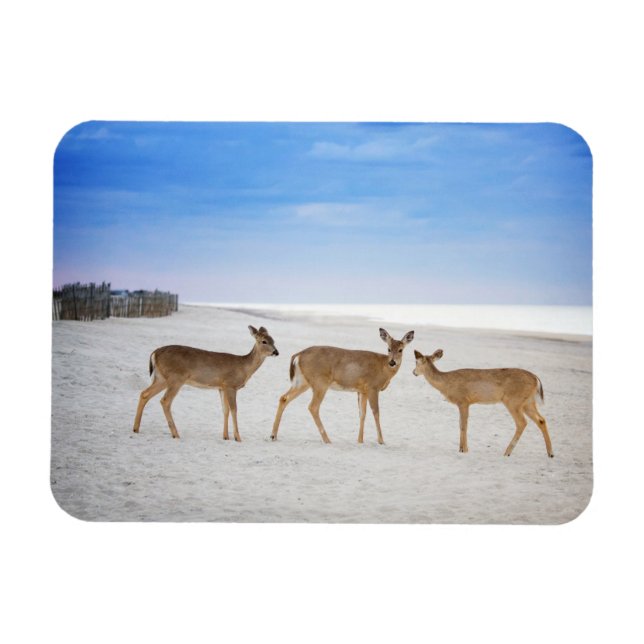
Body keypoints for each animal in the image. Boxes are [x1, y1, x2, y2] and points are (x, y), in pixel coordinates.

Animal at [132, 325, 279, 441]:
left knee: (144, 394)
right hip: (176, 378)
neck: (243, 367)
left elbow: (225, 410)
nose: (276, 352)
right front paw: (238, 437)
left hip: (161, 378)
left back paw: (136, 428)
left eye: (274, 340)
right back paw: (175, 434)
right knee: (165, 400)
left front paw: (225, 436)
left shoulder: (221, 387)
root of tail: (154, 353)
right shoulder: (231, 385)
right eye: (264, 341)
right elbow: (234, 409)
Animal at [270, 328, 414, 444]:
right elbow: (376, 412)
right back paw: (327, 440)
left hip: (302, 382)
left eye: (400, 350)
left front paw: (360, 440)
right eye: (388, 349)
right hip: (320, 382)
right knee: (313, 407)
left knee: (284, 398)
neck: (383, 368)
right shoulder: (373, 387)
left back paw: (273, 435)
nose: (392, 362)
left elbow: (362, 414)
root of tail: (298, 355)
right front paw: (381, 441)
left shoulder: (362, 390)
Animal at [412, 348, 553, 457]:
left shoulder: (463, 400)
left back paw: (507, 452)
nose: (413, 372)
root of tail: (536, 379)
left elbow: (463, 425)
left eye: (416, 362)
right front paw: (461, 448)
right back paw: (550, 453)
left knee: (522, 422)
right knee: (541, 420)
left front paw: (464, 450)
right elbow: (460, 424)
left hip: (513, 401)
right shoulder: (464, 403)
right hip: (528, 402)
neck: (446, 383)